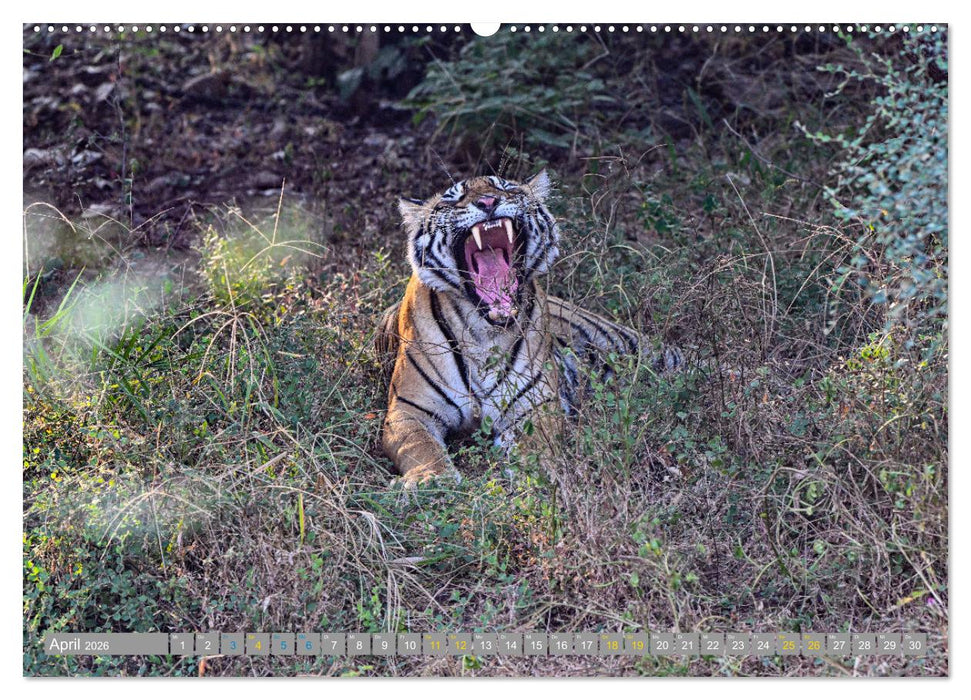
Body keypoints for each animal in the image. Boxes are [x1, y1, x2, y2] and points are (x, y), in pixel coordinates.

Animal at [375, 171, 681, 487]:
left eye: (506, 188)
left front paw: (534, 471)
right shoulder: (408, 410)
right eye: (453, 198)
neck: (484, 332)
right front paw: (432, 479)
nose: (488, 202)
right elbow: (420, 446)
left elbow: (536, 442)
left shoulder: (536, 404)